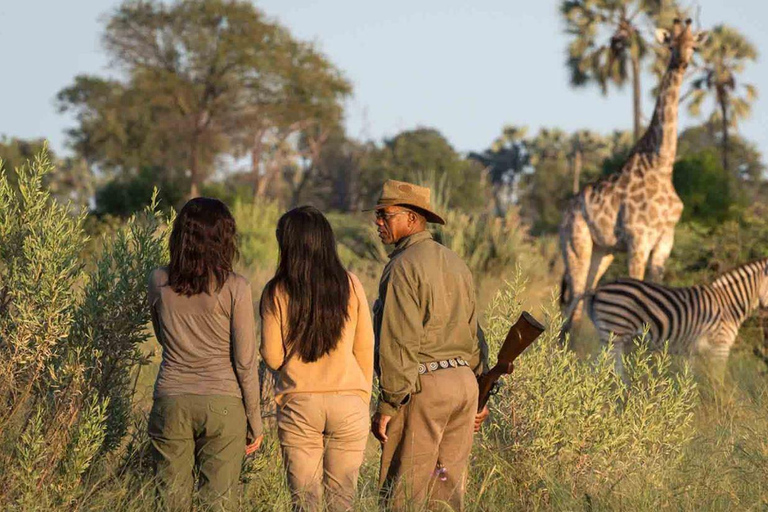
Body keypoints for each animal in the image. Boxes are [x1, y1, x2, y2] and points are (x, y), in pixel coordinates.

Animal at [560, 19, 708, 332]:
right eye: (671, 44)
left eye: (694, 45)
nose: (682, 62)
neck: (662, 165)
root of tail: (564, 213)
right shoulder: (638, 238)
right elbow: (637, 289)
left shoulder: (665, 240)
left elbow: (657, 288)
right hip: (575, 245)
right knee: (572, 301)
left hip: (602, 251)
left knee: (581, 299)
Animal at [584, 258, 768, 374]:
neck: (728, 304)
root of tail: (599, 289)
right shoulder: (720, 347)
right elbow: (719, 382)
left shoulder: (693, 352)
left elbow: (692, 379)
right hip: (614, 333)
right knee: (603, 369)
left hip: (612, 337)